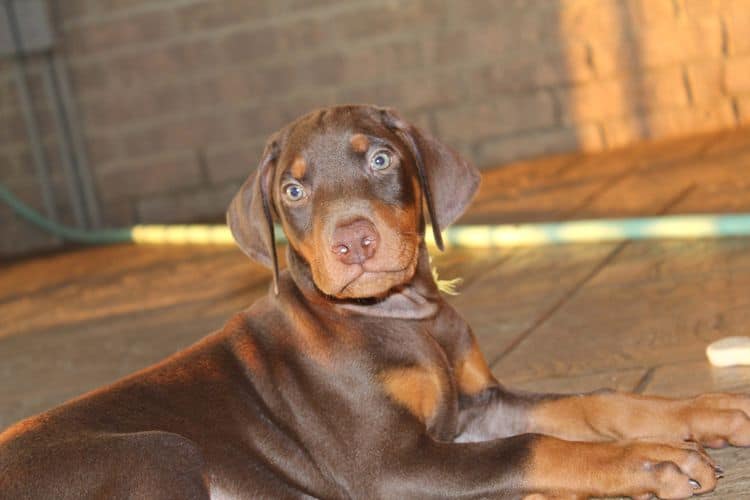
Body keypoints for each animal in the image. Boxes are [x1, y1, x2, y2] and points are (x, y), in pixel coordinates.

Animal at [1, 103, 750, 498]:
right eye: (293, 191)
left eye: (381, 159)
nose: (353, 242)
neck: (399, 316)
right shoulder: (388, 464)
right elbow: (533, 446)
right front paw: (648, 461)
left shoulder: (470, 405)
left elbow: (590, 403)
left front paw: (706, 410)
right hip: (157, 451)